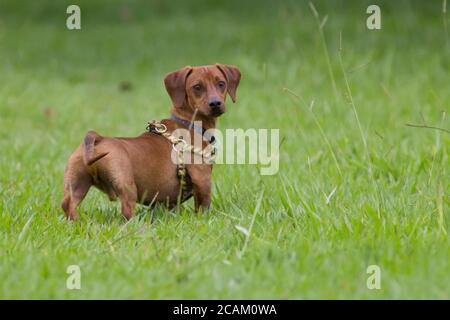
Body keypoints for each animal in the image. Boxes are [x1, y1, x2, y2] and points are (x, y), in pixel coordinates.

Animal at [62, 64, 243, 220]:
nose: (215, 103)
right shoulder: (203, 180)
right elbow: (203, 207)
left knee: (67, 205)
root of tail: (97, 138)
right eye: (197, 87)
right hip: (127, 186)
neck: (189, 122)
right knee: (126, 210)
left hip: (76, 183)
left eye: (221, 83)